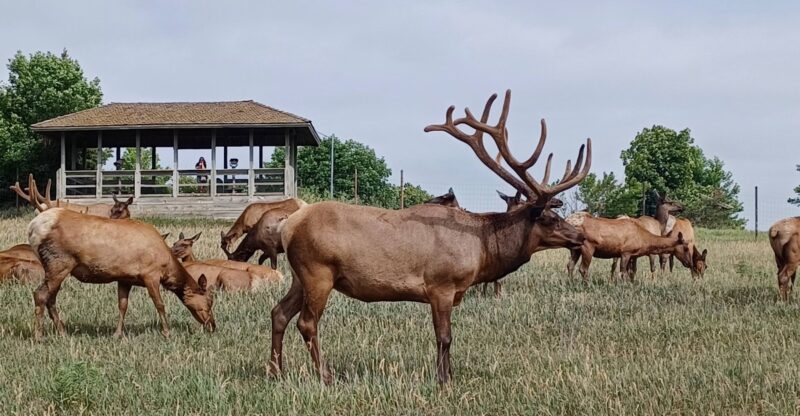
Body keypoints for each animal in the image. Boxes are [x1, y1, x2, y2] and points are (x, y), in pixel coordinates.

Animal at [27, 207, 215, 340]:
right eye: (208, 302)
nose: (213, 326)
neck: (167, 266)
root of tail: (33, 228)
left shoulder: (125, 278)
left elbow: (122, 305)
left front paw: (117, 334)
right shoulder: (150, 274)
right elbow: (159, 304)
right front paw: (167, 333)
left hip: (56, 267)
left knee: (51, 298)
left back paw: (62, 332)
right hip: (59, 262)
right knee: (40, 294)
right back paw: (39, 336)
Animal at [269, 90, 590, 385]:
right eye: (550, 218)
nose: (580, 236)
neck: (482, 249)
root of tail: (288, 226)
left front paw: (449, 375)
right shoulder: (441, 284)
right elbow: (445, 337)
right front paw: (443, 380)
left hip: (300, 275)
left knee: (279, 313)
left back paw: (275, 372)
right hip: (318, 271)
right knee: (307, 323)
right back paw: (326, 376)